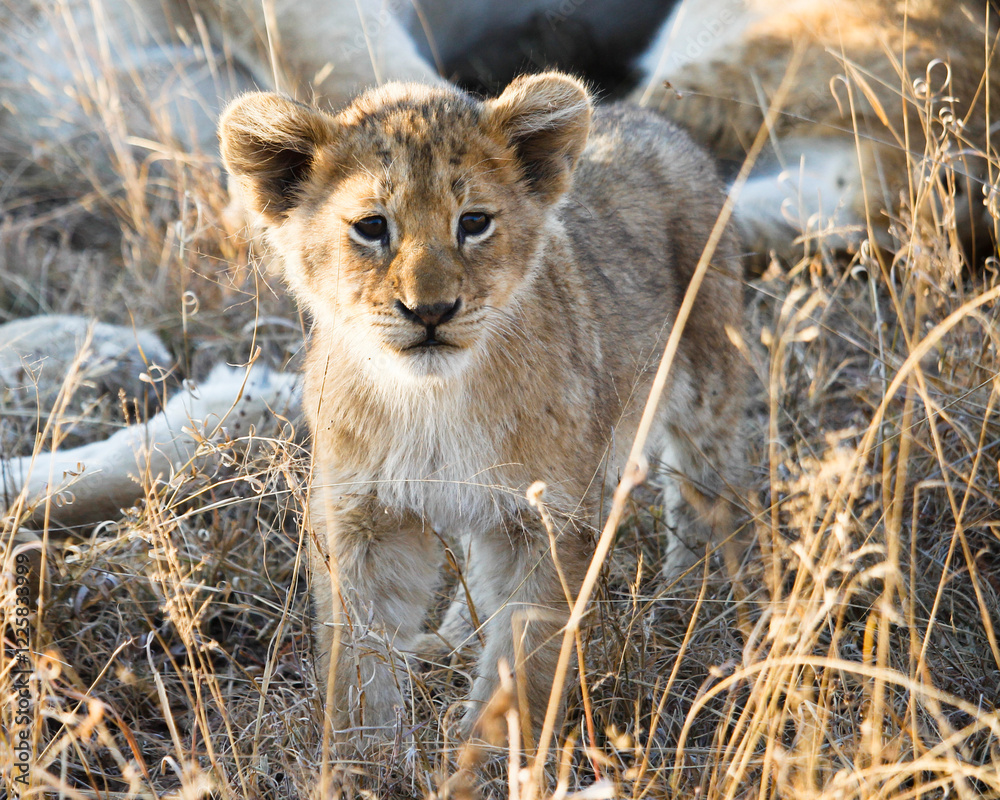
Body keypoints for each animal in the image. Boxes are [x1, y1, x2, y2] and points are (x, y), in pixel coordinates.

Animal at [218, 71, 747, 744]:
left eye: (473, 222)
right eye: (370, 226)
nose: (430, 311)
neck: (432, 402)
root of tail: (645, 117)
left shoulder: (546, 517)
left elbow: (525, 656)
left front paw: (493, 749)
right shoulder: (366, 518)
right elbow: (359, 658)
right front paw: (366, 752)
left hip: (708, 379)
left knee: (709, 495)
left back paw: (692, 603)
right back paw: (445, 645)